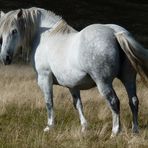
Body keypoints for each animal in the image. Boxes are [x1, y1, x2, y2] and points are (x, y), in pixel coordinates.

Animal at [0, 6, 148, 136]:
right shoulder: (72, 85)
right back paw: (135, 131)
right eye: (2, 34)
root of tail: (114, 32)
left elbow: (49, 102)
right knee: (133, 101)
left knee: (114, 102)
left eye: (14, 31)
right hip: (128, 78)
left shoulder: (44, 78)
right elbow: (78, 105)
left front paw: (50, 127)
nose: (5, 58)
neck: (45, 36)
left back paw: (115, 132)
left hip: (103, 82)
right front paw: (84, 127)